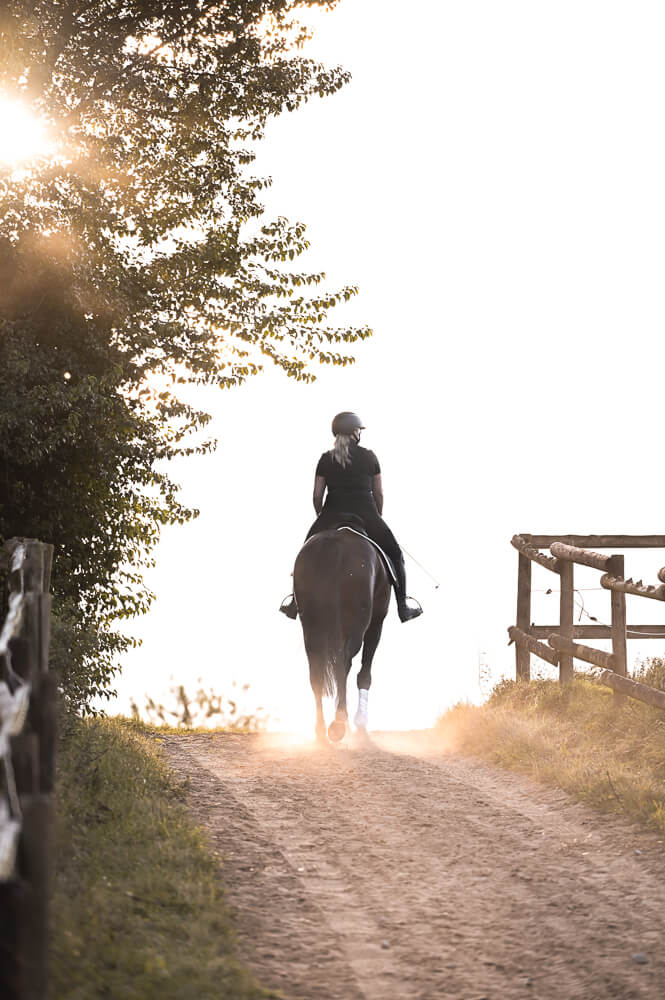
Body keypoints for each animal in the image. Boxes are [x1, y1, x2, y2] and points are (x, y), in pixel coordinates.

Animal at [293, 522, 391, 743]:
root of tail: (334, 543)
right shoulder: (376, 623)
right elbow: (364, 673)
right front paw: (359, 723)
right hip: (357, 624)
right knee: (344, 663)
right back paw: (339, 723)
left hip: (311, 626)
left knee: (316, 671)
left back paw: (322, 729)